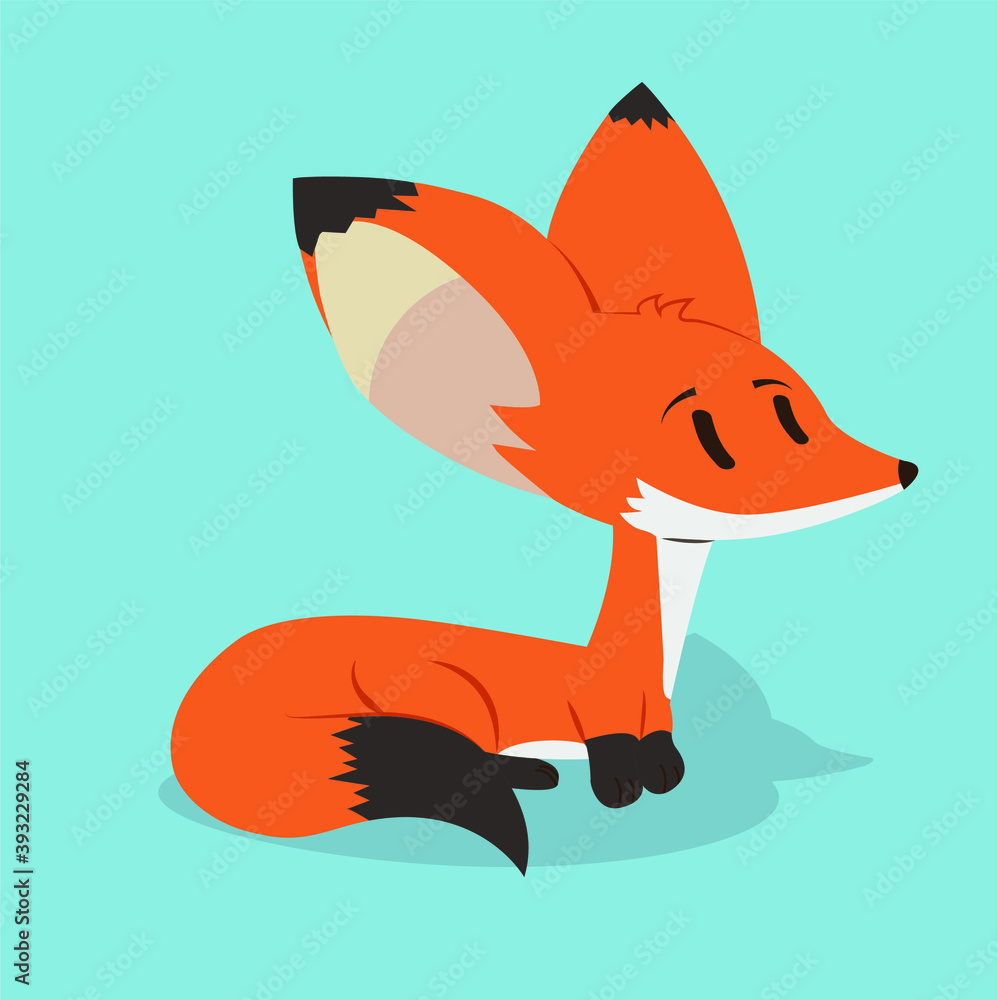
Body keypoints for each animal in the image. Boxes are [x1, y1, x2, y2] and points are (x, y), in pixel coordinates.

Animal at [171, 83, 918, 873]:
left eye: (798, 409)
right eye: (716, 441)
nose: (903, 469)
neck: (644, 675)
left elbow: (667, 762)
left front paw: (663, 774)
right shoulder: (595, 718)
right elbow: (616, 762)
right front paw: (617, 787)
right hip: (446, 691)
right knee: (462, 754)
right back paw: (527, 774)